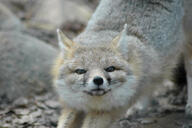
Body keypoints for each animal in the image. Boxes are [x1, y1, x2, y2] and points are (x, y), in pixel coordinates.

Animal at [52, 0, 192, 127]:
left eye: (110, 69)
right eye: (81, 71)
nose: (98, 80)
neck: (93, 104)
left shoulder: (109, 110)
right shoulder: (73, 105)